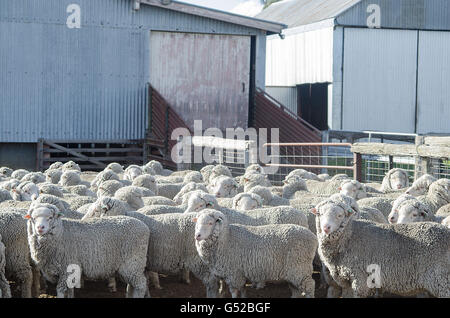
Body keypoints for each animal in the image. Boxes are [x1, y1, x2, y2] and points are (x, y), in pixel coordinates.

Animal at [312, 200, 450, 300]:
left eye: (340, 215)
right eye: (320, 214)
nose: (326, 228)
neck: (349, 235)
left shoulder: (360, 279)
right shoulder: (345, 280)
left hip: (442, 280)